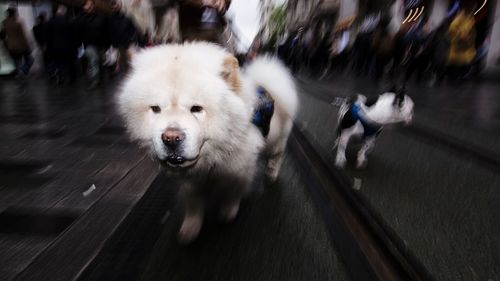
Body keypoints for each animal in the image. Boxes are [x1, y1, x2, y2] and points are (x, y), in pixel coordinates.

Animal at [117, 42, 296, 242]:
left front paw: (228, 212)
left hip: (276, 141)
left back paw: (272, 173)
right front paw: (190, 228)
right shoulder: (192, 180)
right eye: (156, 109)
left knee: (277, 155)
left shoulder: (239, 168)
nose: (171, 138)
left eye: (196, 109)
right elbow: (193, 202)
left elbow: (233, 191)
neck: (212, 155)